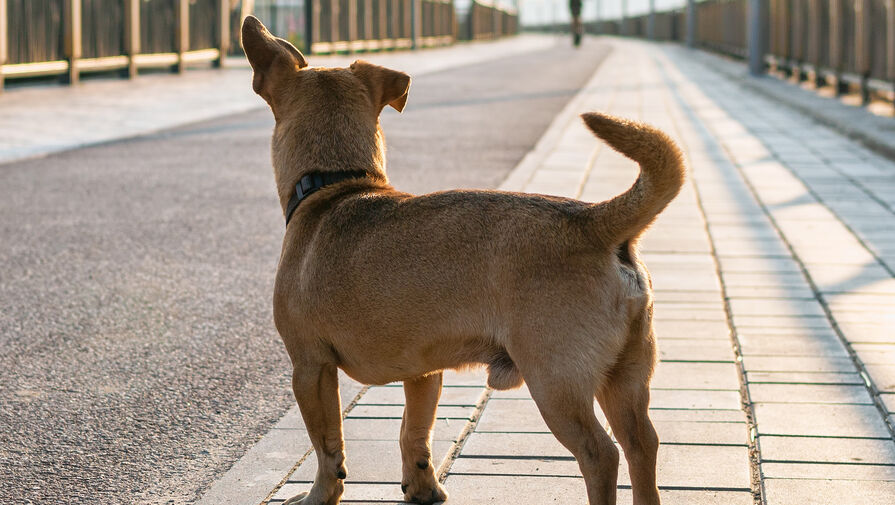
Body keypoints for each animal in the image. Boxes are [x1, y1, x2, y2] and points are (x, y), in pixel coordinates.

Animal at [242, 15, 684, 504]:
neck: (338, 182)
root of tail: (592, 220)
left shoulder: (310, 367)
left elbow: (327, 446)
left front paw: (320, 494)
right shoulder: (424, 372)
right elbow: (414, 434)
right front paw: (422, 488)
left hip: (556, 384)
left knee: (601, 454)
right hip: (624, 379)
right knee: (642, 444)